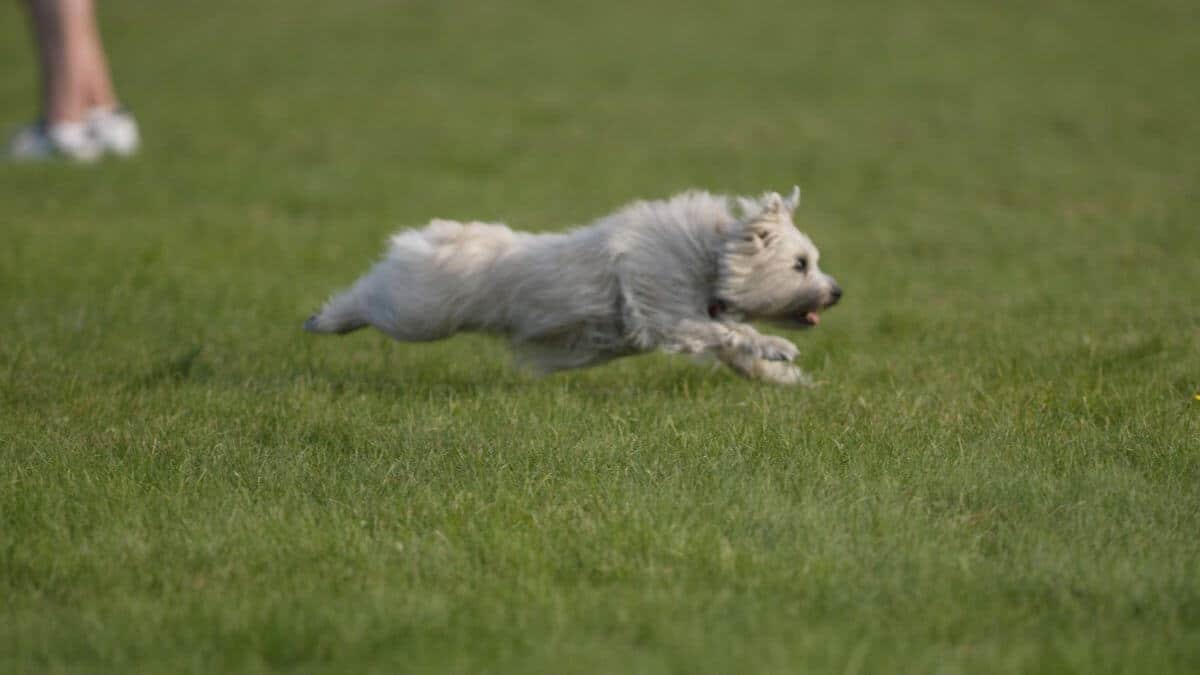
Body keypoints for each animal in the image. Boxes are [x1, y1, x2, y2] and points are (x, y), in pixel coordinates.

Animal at [304, 186, 840, 384]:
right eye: (800, 264)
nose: (837, 292)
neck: (709, 256)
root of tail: (435, 237)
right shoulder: (666, 313)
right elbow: (730, 333)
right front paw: (779, 349)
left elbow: (732, 346)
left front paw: (783, 378)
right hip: (419, 312)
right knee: (368, 297)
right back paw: (323, 318)